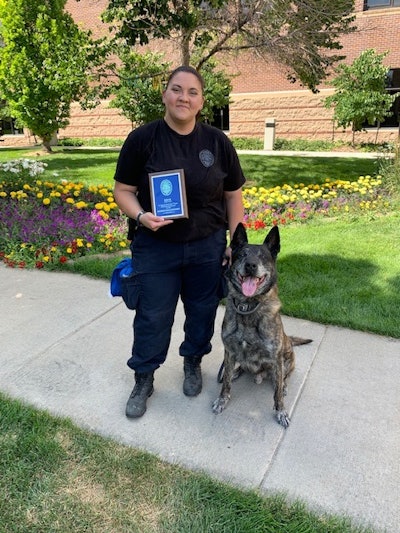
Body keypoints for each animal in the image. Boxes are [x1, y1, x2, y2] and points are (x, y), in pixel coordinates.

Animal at [212, 222, 312, 426]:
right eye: (242, 254)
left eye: (263, 257)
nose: (251, 265)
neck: (247, 306)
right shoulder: (229, 351)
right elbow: (225, 383)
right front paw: (222, 399)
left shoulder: (276, 357)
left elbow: (277, 395)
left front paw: (280, 411)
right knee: (237, 368)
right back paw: (236, 372)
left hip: (286, 360)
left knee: (283, 378)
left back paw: (283, 385)